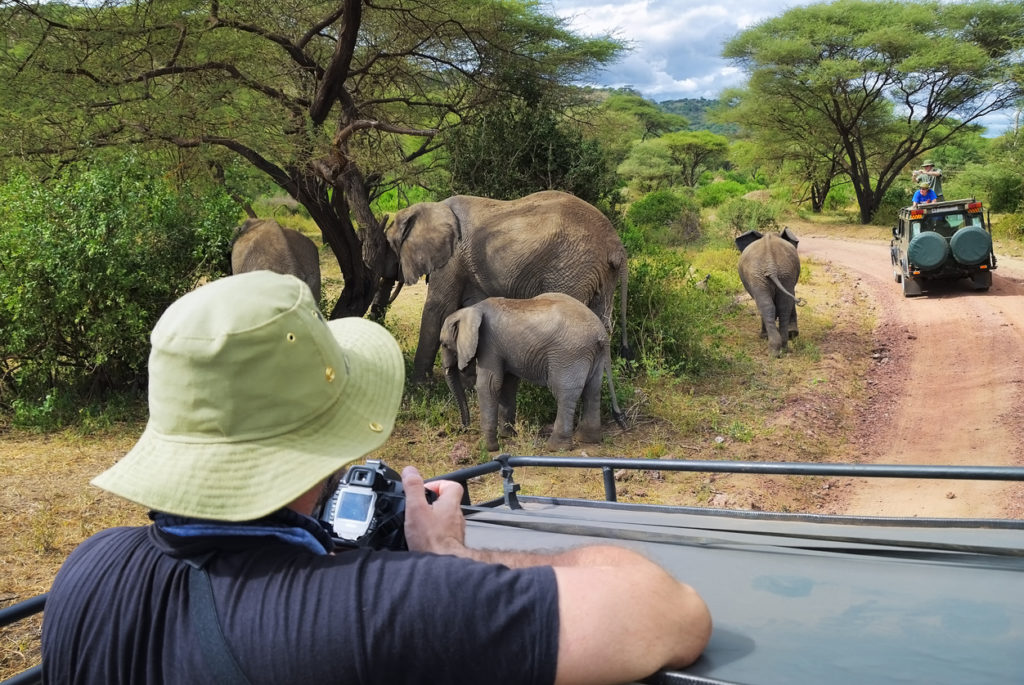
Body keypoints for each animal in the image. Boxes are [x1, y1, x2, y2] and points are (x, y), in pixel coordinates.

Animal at [385, 191, 626, 378]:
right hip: (599, 274)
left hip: (571, 269)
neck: (431, 207)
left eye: (390, 244)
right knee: (602, 321)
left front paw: (420, 383)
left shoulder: (452, 258)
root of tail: (615, 245)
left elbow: (439, 308)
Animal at [438, 290, 626, 450]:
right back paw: (588, 440)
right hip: (593, 354)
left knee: (564, 393)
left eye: (444, 344)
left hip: (570, 354)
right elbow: (507, 384)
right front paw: (507, 436)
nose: (463, 428)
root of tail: (601, 334)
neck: (471, 310)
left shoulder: (488, 345)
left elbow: (489, 385)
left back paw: (555, 448)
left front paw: (487, 448)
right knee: (592, 390)